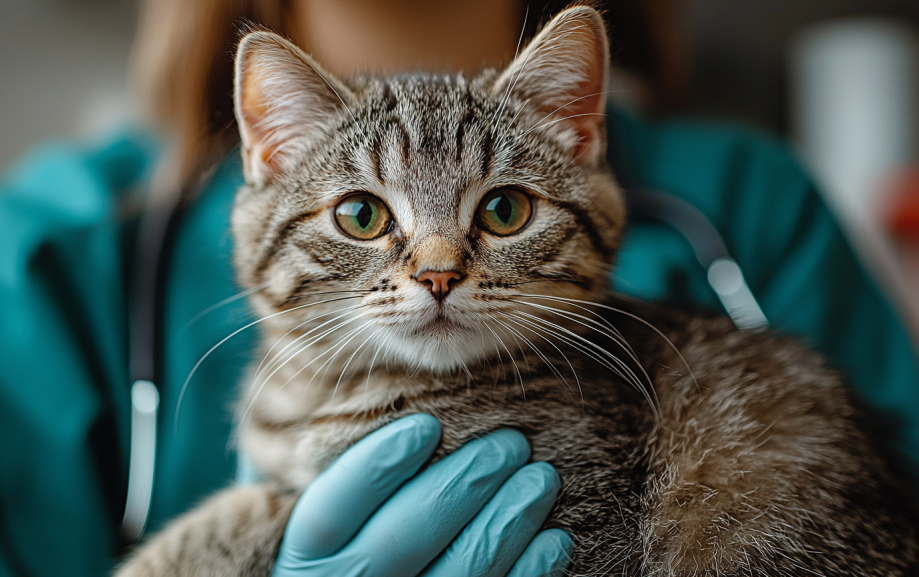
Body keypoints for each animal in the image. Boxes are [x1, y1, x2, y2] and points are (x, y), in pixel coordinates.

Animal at [117, 5, 919, 576]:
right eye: (361, 216)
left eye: (505, 211)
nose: (438, 274)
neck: (322, 395)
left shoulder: (581, 515)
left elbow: (251, 513)